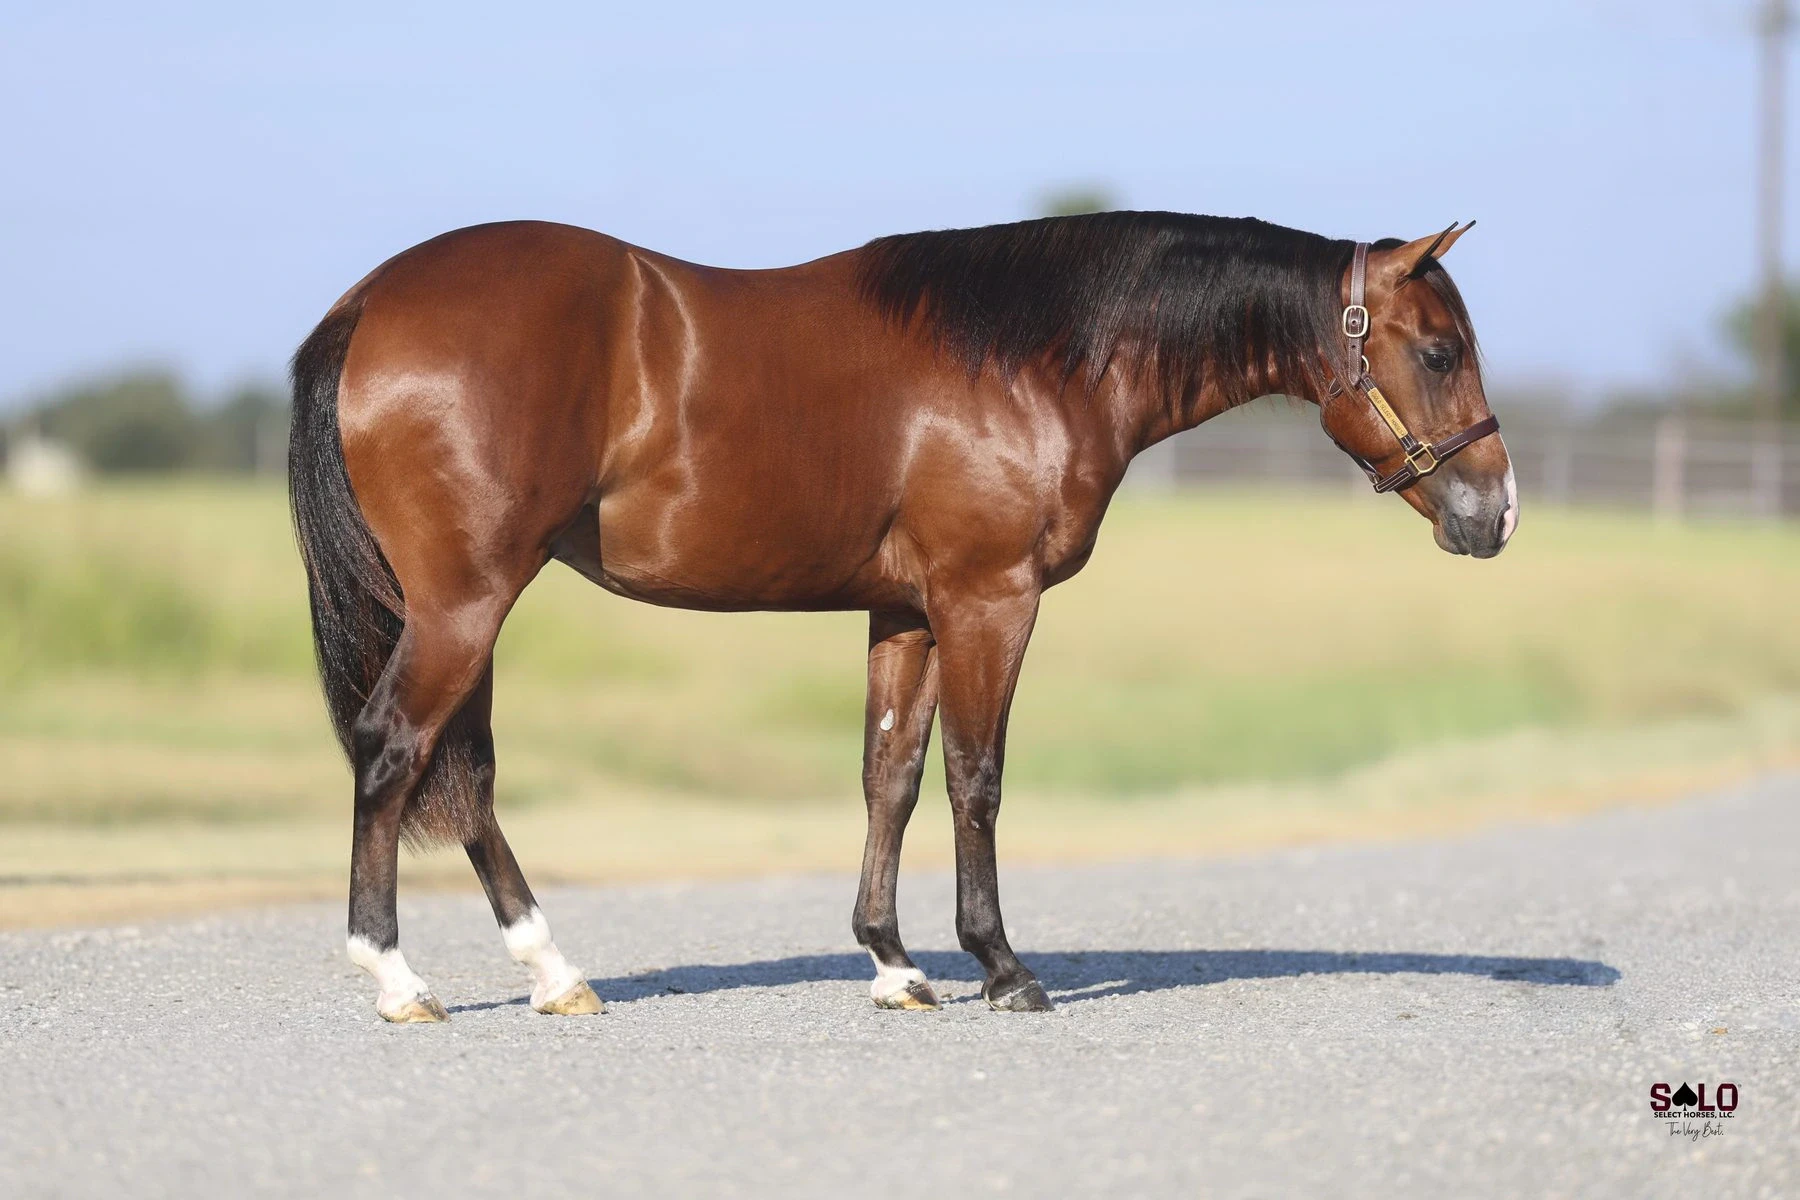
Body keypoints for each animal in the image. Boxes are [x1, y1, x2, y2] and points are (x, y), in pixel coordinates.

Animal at [288, 212, 1514, 1022]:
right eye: (1440, 350)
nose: (1493, 513)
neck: (1031, 357)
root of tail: (369, 302)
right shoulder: (989, 600)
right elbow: (976, 777)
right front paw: (1003, 967)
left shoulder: (905, 612)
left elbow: (893, 775)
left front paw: (893, 963)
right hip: (466, 600)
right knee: (396, 748)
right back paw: (397, 978)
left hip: (465, 602)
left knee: (463, 773)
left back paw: (554, 973)